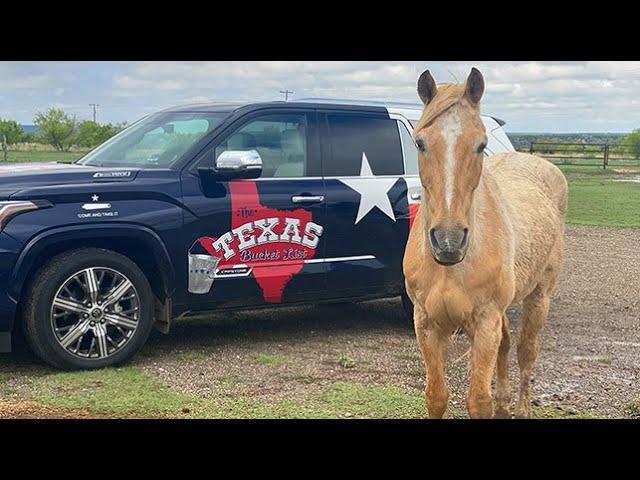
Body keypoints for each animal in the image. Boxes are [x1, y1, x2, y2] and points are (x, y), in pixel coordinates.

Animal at [402, 68, 568, 420]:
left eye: (481, 145)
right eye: (420, 143)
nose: (448, 240)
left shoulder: (485, 321)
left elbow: (478, 399)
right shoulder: (427, 323)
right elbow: (436, 395)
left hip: (539, 296)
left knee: (526, 351)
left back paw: (521, 408)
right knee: (506, 346)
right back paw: (504, 405)